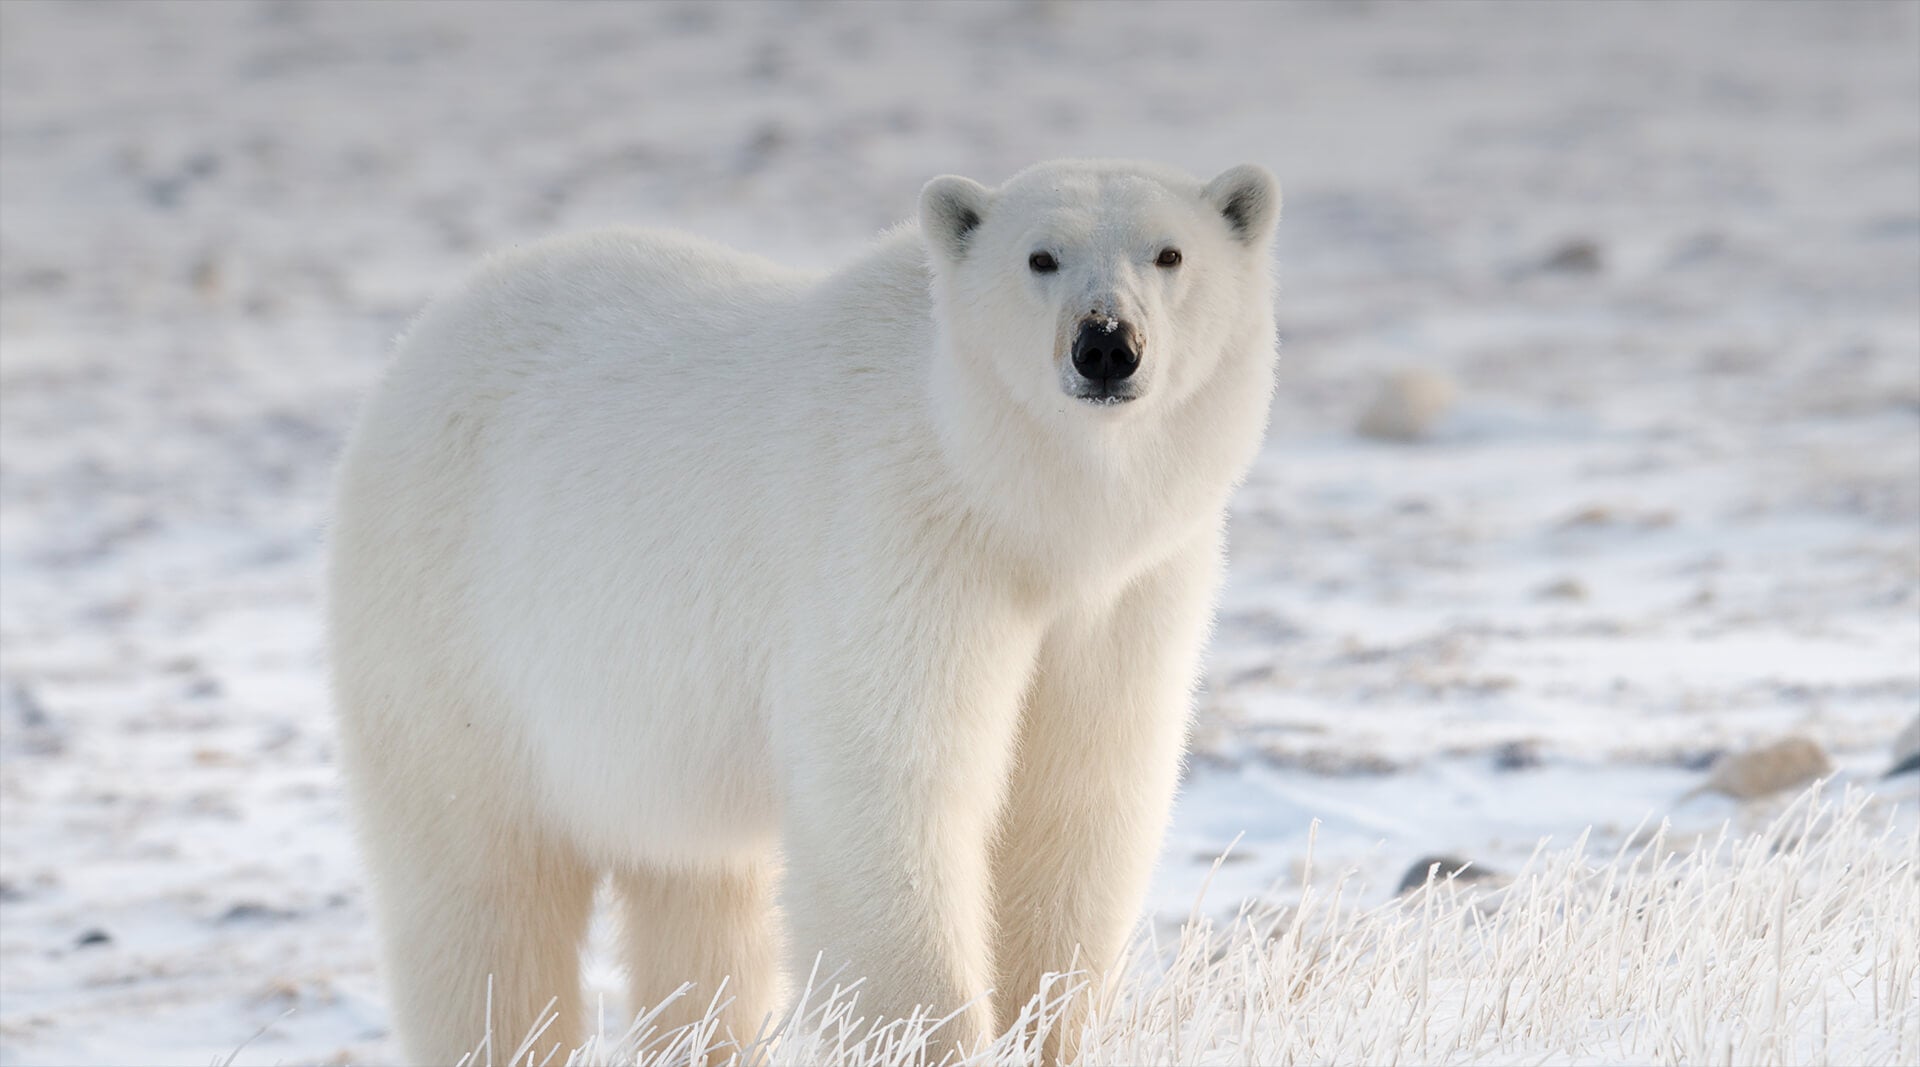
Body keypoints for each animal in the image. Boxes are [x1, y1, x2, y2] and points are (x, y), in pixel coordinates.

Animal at [328, 158, 1281, 1064]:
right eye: (1040, 257)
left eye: (1169, 253)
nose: (1106, 345)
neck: (1014, 503)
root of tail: (427, 333)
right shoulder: (896, 543)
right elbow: (892, 794)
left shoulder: (1127, 593)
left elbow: (1077, 802)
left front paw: (1046, 1028)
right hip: (453, 644)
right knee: (483, 901)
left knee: (702, 905)